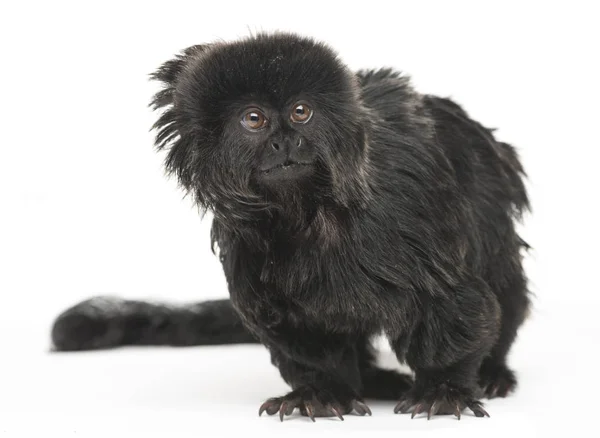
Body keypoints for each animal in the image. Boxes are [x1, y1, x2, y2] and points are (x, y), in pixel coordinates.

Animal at [51, 33, 528, 420]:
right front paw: (322, 392)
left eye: (301, 113)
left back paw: (493, 372)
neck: (311, 213)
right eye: (254, 119)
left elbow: (456, 305)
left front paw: (444, 388)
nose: (285, 142)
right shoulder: (247, 249)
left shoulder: (408, 216)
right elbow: (302, 336)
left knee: (504, 284)